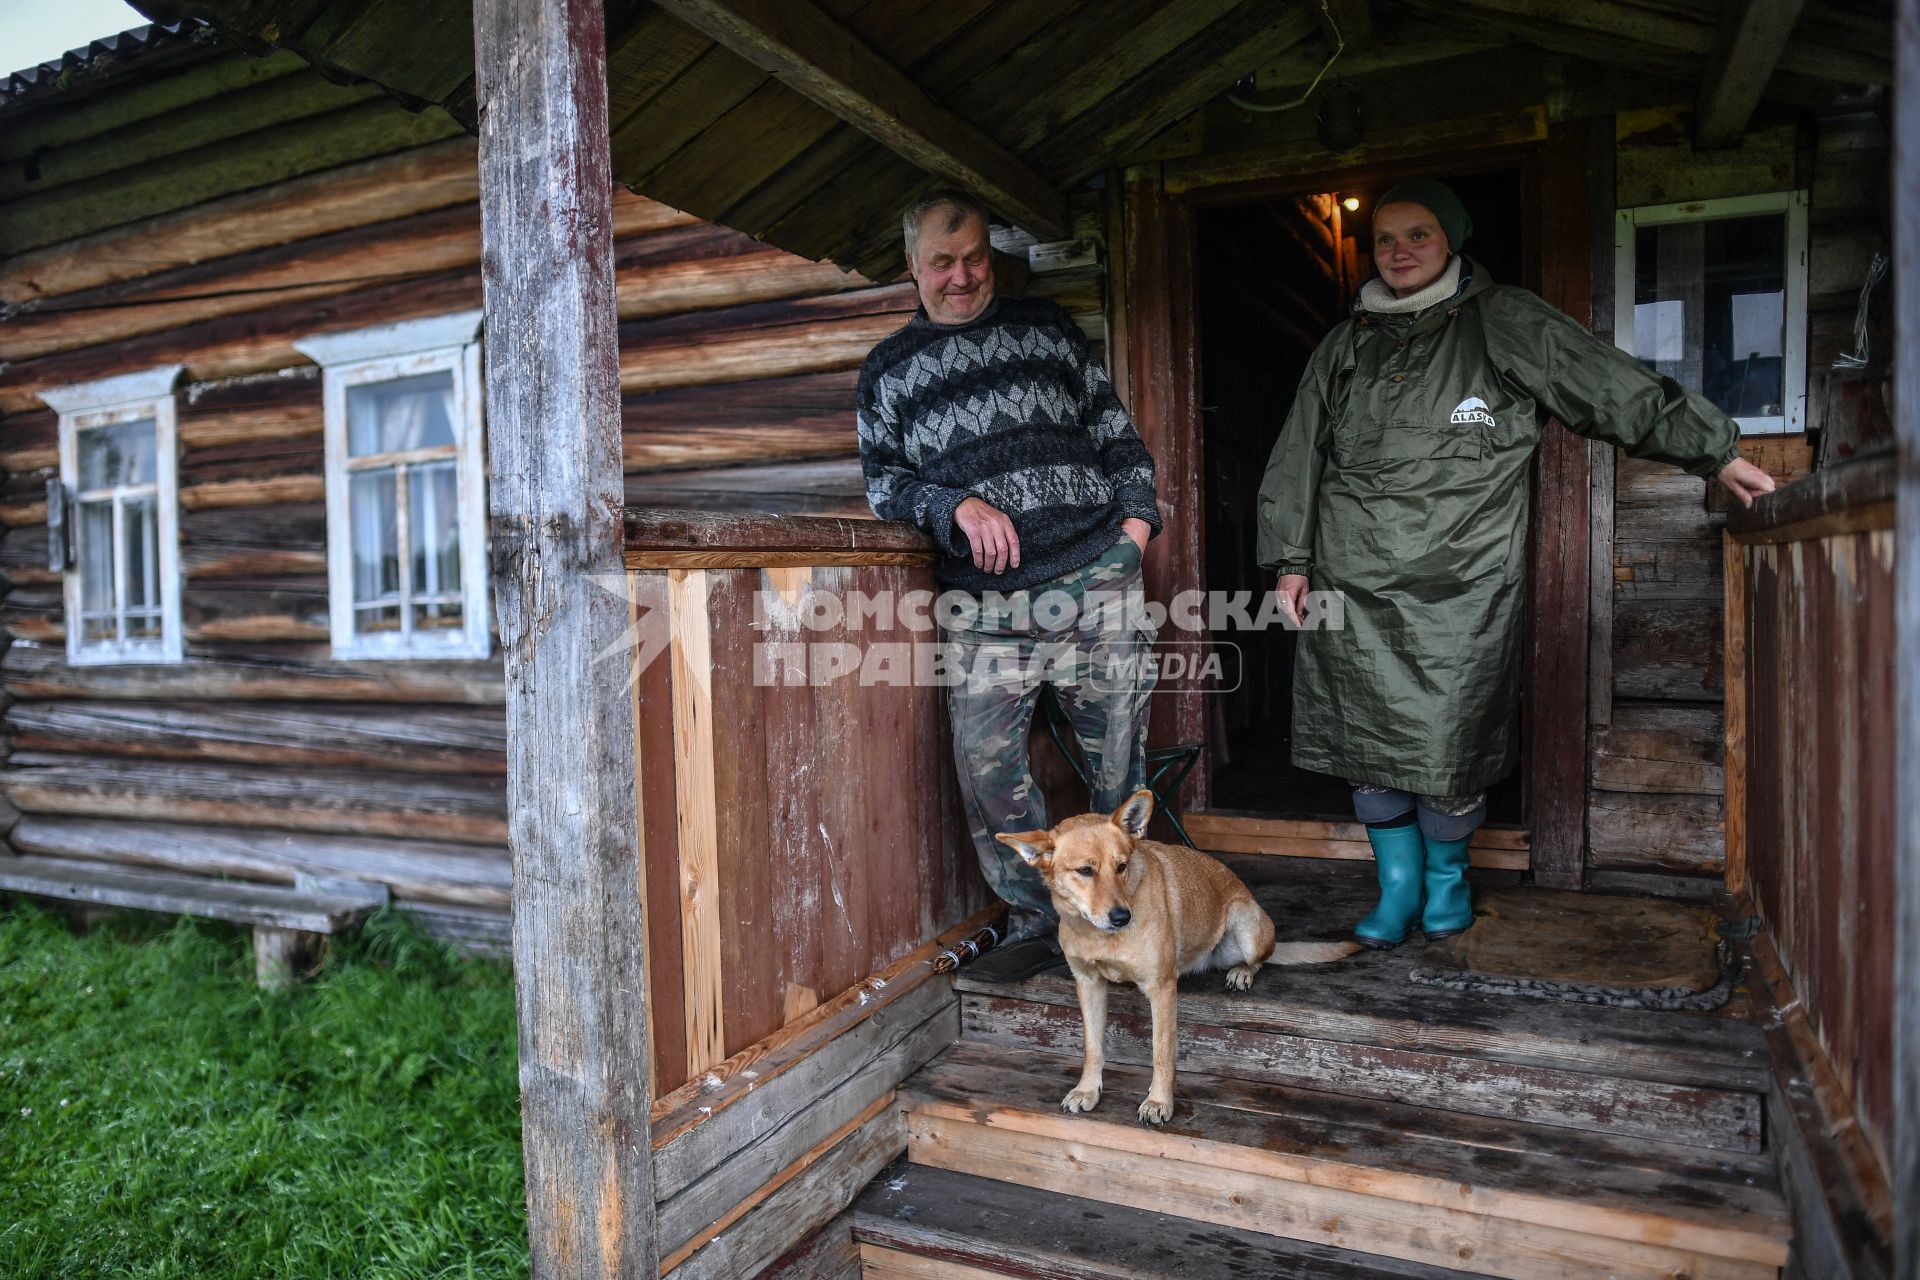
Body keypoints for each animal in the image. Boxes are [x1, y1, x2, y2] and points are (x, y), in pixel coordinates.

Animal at [998, 786, 1359, 1128]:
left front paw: (1159, 1103)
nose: (1122, 917)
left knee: (1260, 958)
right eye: (1085, 871)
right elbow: (1092, 1047)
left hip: (1245, 923)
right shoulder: (1088, 984)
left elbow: (1161, 1052)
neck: (1100, 935)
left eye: (1121, 867)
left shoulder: (1161, 989)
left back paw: (1242, 972)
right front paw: (1087, 1090)